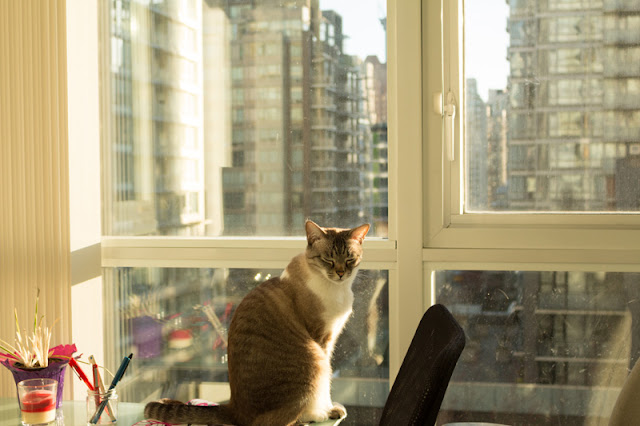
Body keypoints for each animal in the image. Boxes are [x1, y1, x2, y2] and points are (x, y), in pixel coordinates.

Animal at [144, 221, 370, 424]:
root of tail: (233, 410)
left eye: (349, 259)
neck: (339, 289)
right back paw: (316, 415)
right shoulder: (322, 340)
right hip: (314, 359)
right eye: (328, 260)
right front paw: (328, 410)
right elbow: (326, 384)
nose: (340, 273)